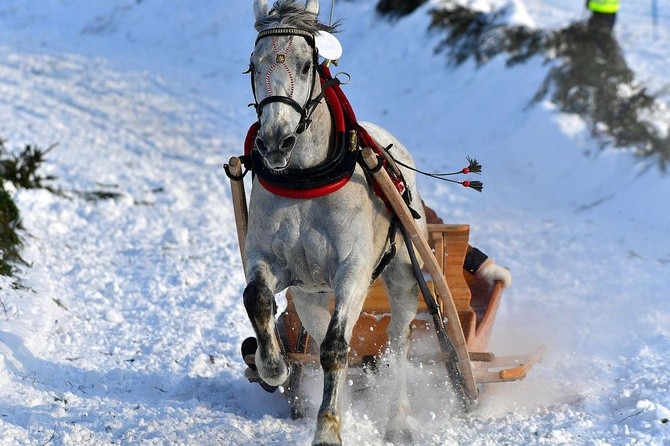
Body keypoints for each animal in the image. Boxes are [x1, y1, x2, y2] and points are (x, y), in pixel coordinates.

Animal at [247, 0, 430, 442]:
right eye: (252, 64)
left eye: (306, 64)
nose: (275, 142)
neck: (305, 180)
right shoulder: (269, 260)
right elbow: (257, 298)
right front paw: (273, 367)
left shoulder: (353, 270)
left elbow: (335, 348)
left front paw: (327, 430)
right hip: (311, 294)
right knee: (318, 331)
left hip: (402, 274)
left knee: (397, 340)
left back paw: (397, 418)